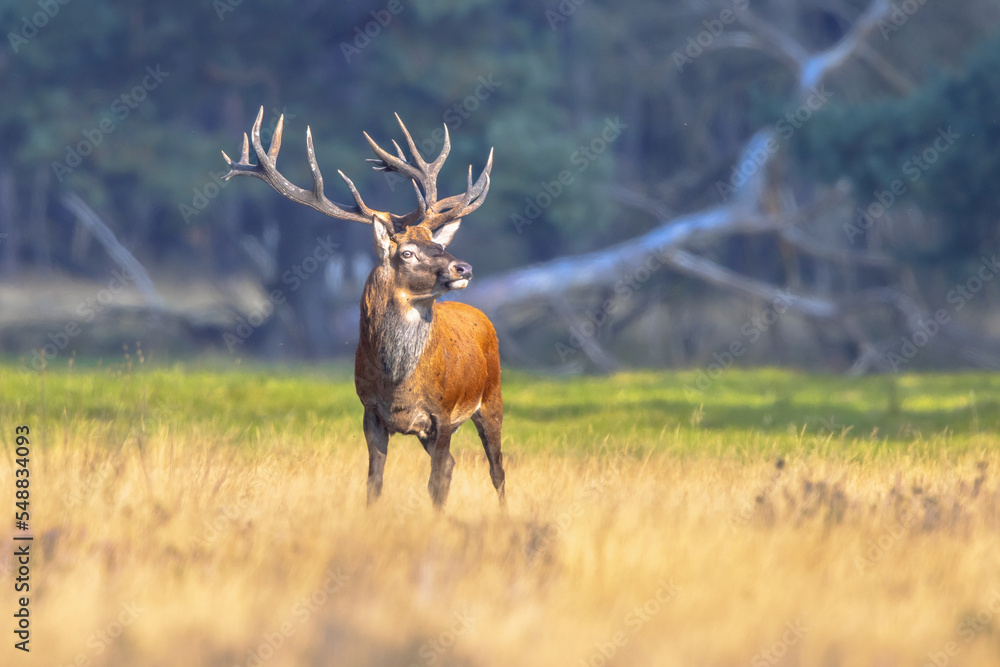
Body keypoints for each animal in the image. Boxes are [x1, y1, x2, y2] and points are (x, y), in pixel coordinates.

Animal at [221, 107, 505, 510]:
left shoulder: (443, 414)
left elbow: (434, 481)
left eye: (439, 244)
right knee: (453, 465)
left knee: (496, 469)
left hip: (492, 397)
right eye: (407, 252)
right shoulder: (370, 412)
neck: (398, 384)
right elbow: (375, 482)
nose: (462, 268)